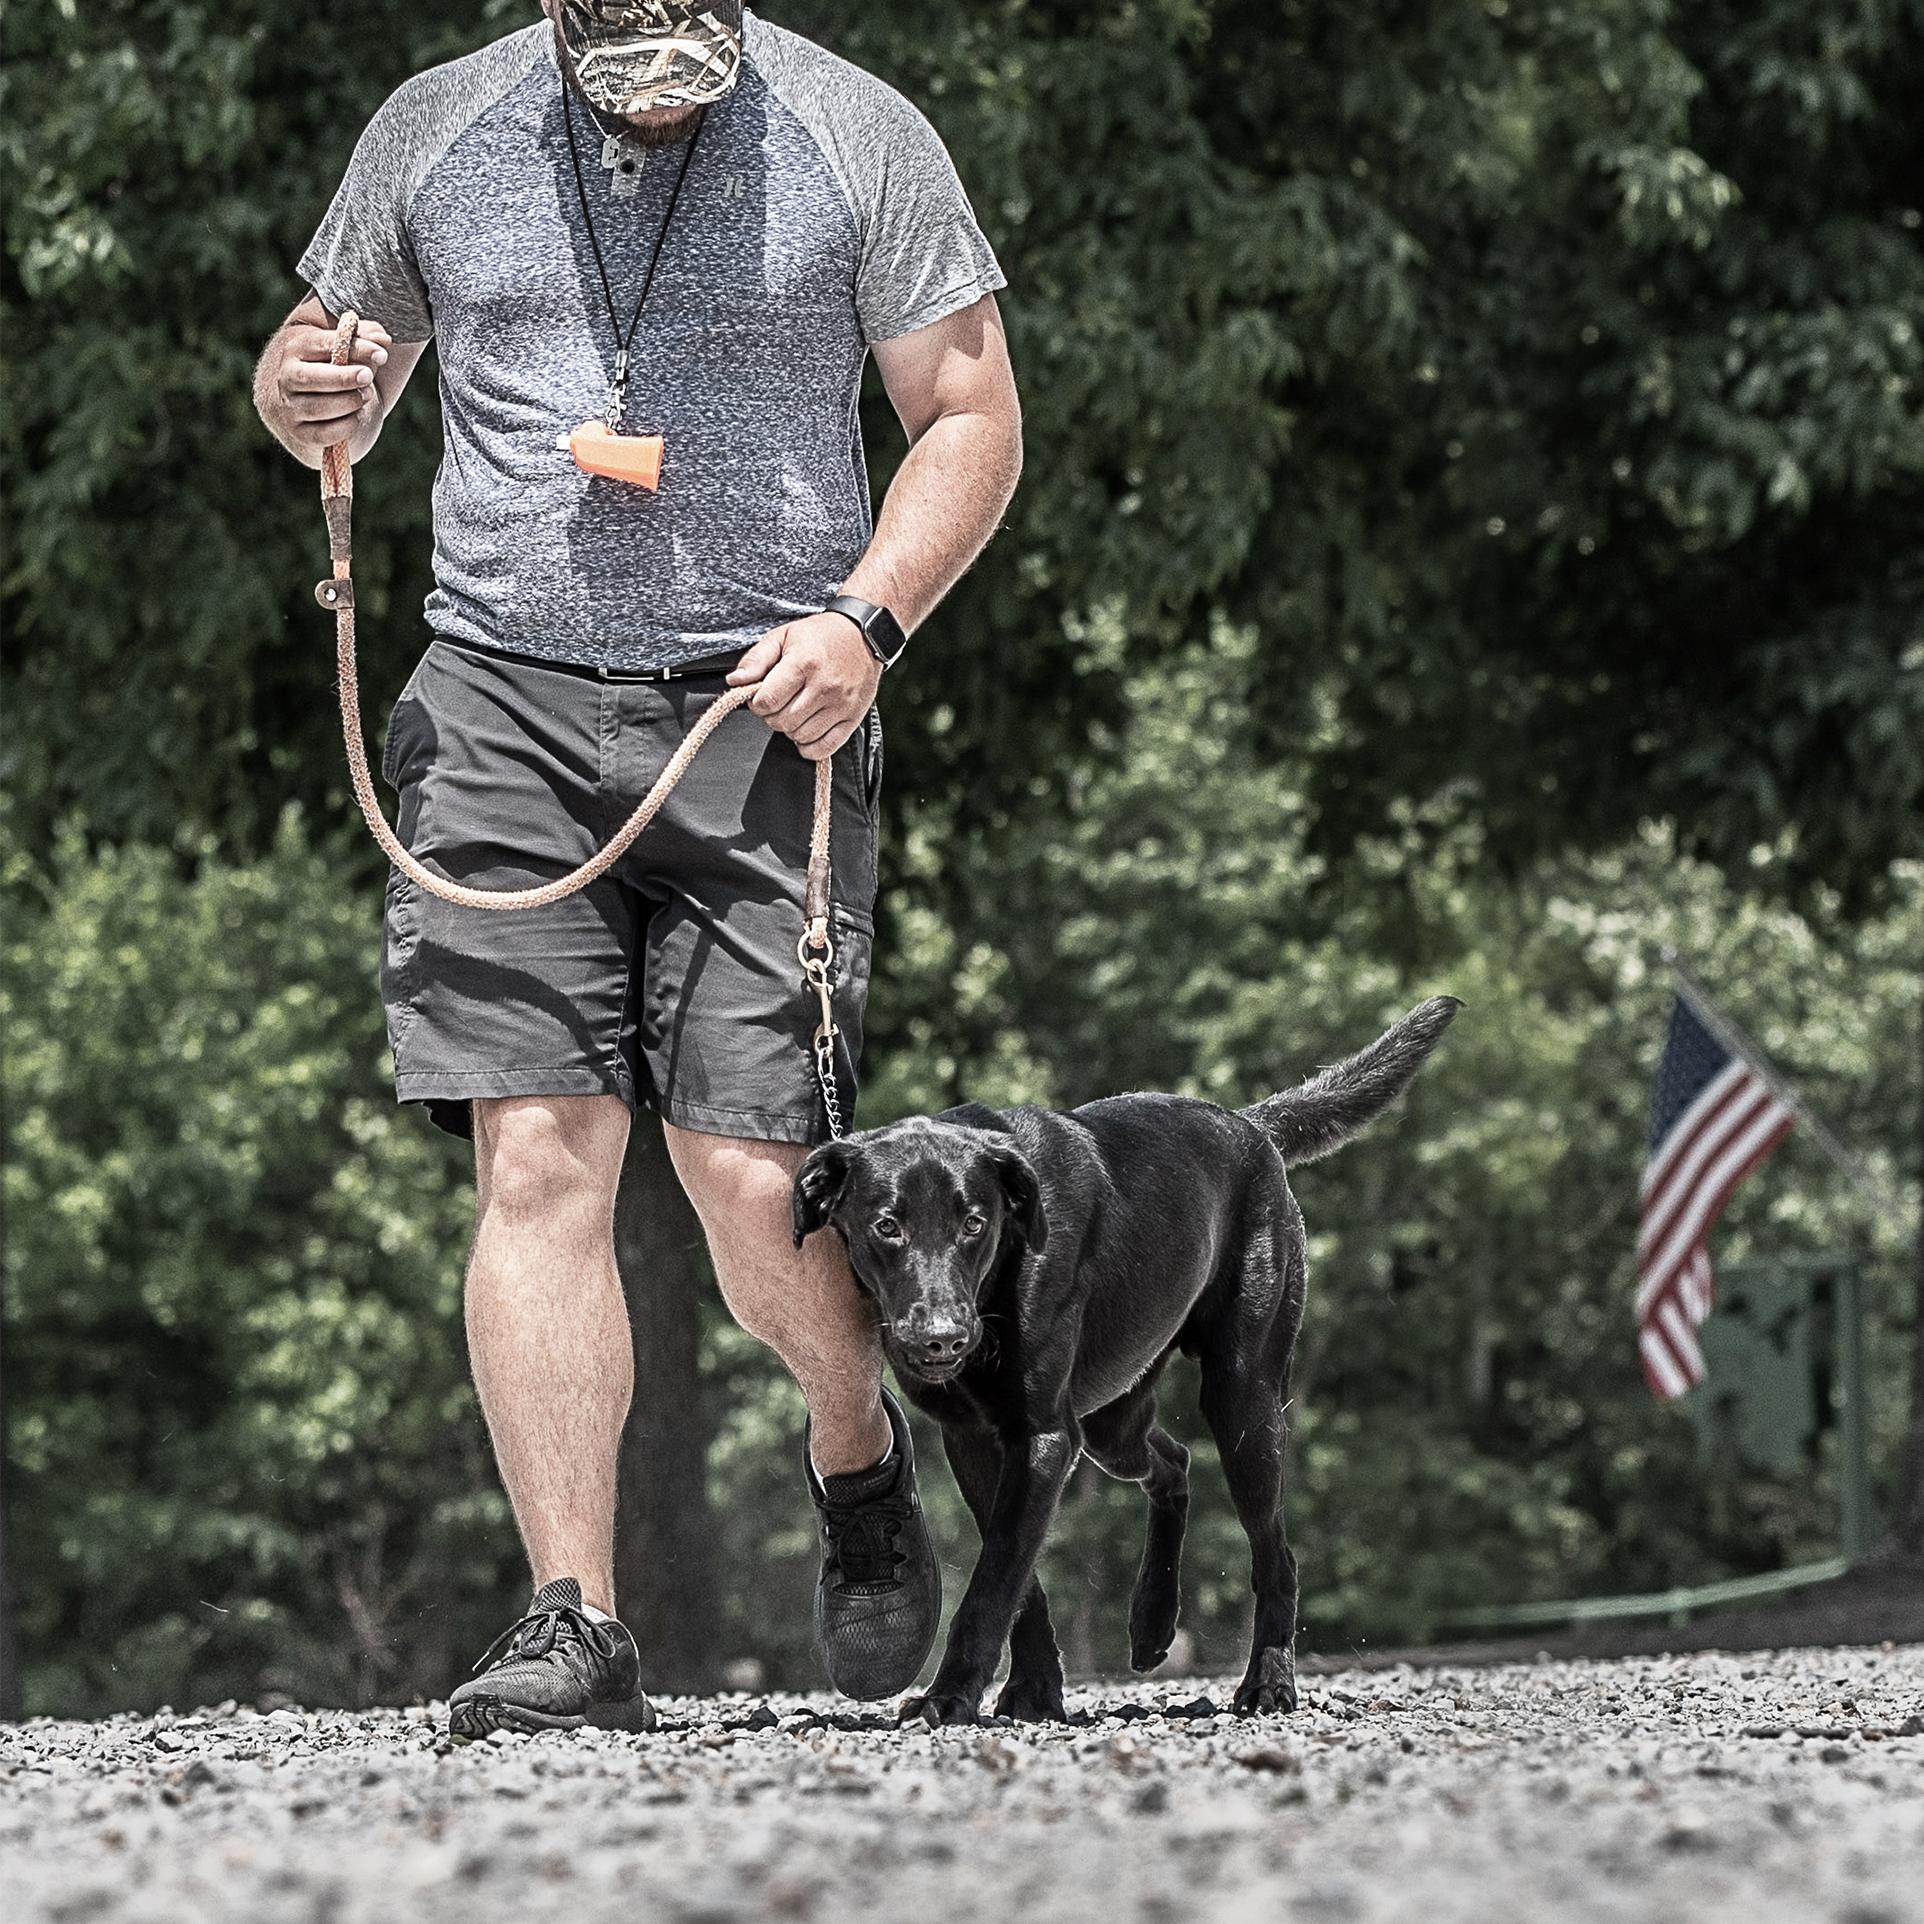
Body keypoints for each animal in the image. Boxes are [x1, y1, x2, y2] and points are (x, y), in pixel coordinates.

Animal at [788, 1000, 1446, 1723]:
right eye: (887, 1226)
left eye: (973, 1224)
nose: (943, 1339)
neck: (1003, 1272)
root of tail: (1250, 1126)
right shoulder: (978, 1439)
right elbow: (1019, 1577)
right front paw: (1033, 1690)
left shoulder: (1043, 1436)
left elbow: (995, 1579)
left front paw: (951, 1694)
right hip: (1110, 1425)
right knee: (1174, 1464)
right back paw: (1153, 1620)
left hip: (1242, 1401)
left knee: (1276, 1553)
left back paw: (1269, 1683)